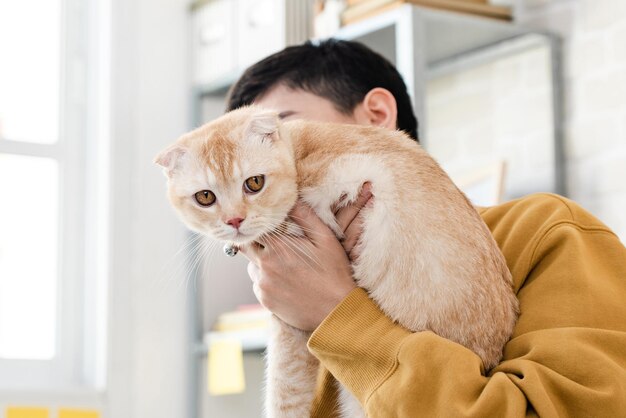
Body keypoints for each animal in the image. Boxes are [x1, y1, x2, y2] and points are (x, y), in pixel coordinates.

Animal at [155, 106, 516, 418]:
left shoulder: (288, 322)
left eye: (254, 183)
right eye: (205, 197)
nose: (234, 220)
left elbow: (282, 392)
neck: (298, 153)